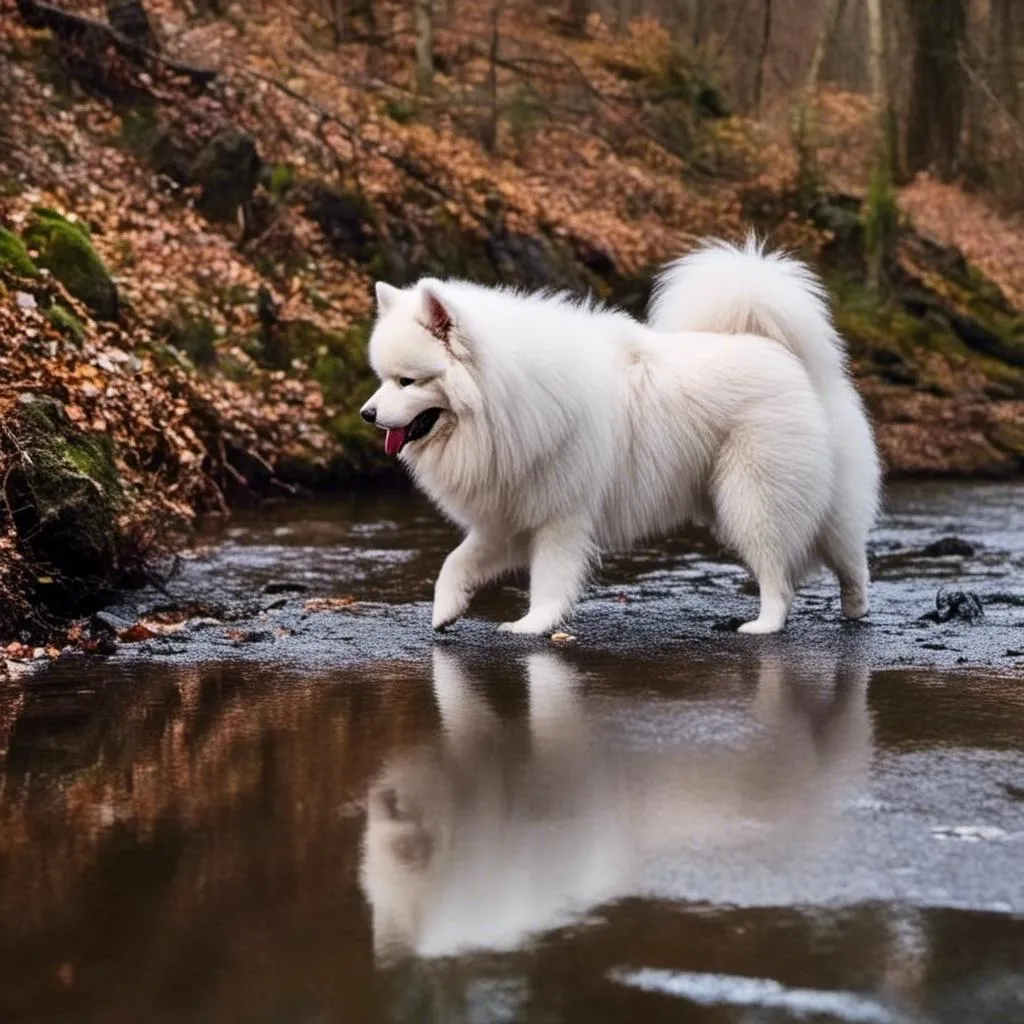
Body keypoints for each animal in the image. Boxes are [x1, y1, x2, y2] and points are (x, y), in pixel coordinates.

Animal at [362, 240, 880, 638]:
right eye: (382, 379)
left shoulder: (561, 515)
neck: (505, 398)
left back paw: (765, 625)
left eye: (407, 381)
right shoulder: (510, 513)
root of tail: (786, 355)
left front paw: (532, 626)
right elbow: (455, 563)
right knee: (849, 557)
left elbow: (549, 579)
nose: (366, 414)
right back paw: (854, 609)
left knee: (782, 576)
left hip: (754, 498)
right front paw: (445, 610)